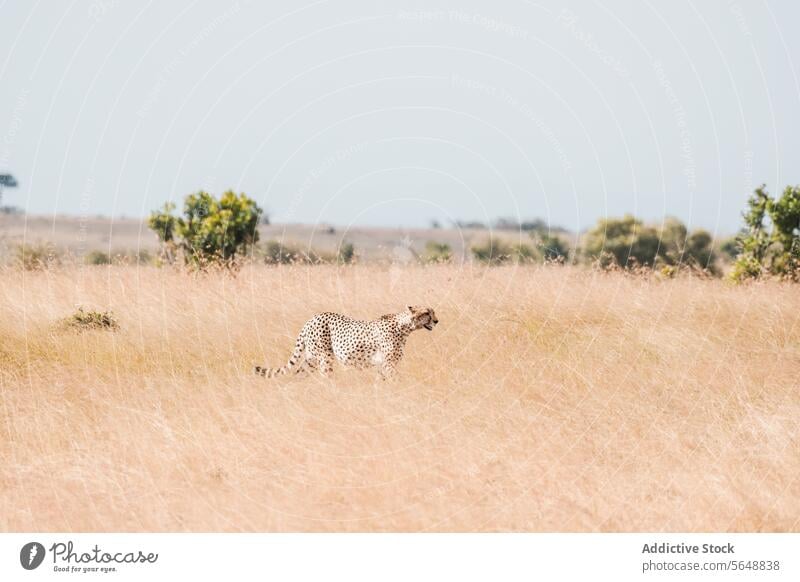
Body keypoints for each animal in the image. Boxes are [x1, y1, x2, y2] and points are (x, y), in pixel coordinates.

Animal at [253, 308, 438, 380]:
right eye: (427, 313)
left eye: (433, 312)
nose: (437, 321)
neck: (405, 327)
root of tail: (312, 319)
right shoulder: (388, 364)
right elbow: (396, 378)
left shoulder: (382, 365)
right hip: (325, 357)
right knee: (325, 376)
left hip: (311, 358)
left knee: (299, 373)